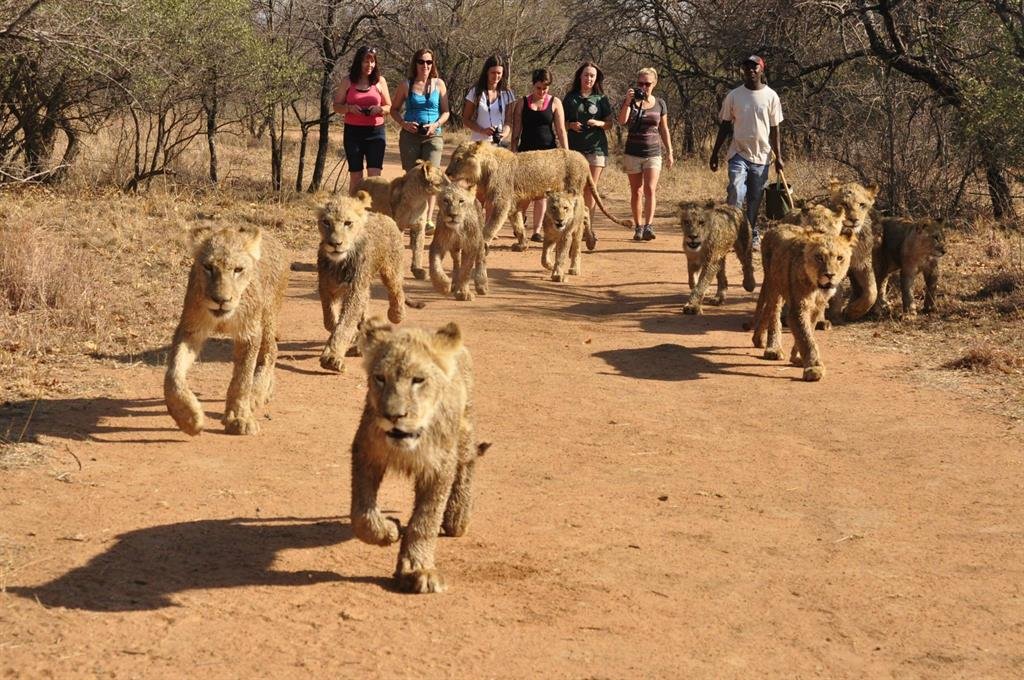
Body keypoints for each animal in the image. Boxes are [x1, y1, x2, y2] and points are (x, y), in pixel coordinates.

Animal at [164, 223, 288, 436]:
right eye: (208, 267)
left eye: (238, 270)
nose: (221, 300)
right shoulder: (191, 329)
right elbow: (174, 374)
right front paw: (187, 417)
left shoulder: (249, 332)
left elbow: (242, 379)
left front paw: (239, 417)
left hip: (267, 315)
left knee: (271, 351)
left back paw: (257, 393)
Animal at [317, 192, 424, 373]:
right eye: (326, 222)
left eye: (348, 223)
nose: (335, 244)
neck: (339, 263)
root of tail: (383, 216)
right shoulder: (326, 287)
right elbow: (330, 320)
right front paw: (348, 335)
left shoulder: (355, 290)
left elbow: (345, 323)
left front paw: (332, 358)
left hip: (390, 270)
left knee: (397, 291)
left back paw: (396, 314)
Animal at [350, 316, 490, 594]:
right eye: (380, 378)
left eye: (418, 379)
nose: (393, 415)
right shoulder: (365, 452)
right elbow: (362, 515)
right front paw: (389, 531)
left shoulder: (439, 467)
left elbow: (426, 520)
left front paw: (418, 568)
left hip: (464, 428)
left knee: (468, 461)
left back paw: (458, 517)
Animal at [444, 142, 630, 251]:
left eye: (458, 159)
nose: (447, 172)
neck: (484, 169)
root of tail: (583, 158)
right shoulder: (512, 205)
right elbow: (518, 225)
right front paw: (522, 245)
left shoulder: (502, 202)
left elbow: (491, 226)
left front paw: (482, 243)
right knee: (584, 211)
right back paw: (589, 241)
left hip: (573, 191)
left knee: (583, 211)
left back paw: (589, 240)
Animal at [755, 226, 856, 382]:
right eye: (819, 257)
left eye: (840, 258)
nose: (830, 275)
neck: (817, 287)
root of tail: (776, 227)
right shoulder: (798, 307)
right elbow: (806, 337)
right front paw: (814, 368)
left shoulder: (817, 307)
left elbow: (809, 330)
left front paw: (798, 357)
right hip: (774, 284)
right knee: (773, 313)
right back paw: (773, 349)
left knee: (767, 311)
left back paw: (758, 339)